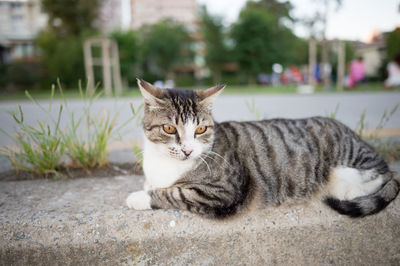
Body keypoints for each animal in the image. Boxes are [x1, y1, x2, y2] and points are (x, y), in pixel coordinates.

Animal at [126, 78, 400, 218]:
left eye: (201, 129)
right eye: (169, 129)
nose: (187, 151)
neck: (164, 165)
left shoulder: (223, 192)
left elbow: (174, 193)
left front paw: (139, 197)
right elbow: (156, 185)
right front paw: (147, 186)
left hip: (350, 164)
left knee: (375, 178)